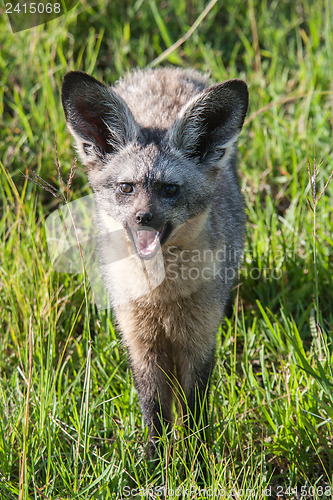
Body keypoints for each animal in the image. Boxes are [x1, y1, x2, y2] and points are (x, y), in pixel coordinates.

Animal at [61, 66, 248, 454]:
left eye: (170, 189)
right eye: (126, 187)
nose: (143, 217)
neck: (161, 300)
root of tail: (167, 70)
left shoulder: (199, 340)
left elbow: (193, 409)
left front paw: (195, 457)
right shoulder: (140, 342)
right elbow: (154, 409)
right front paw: (154, 459)